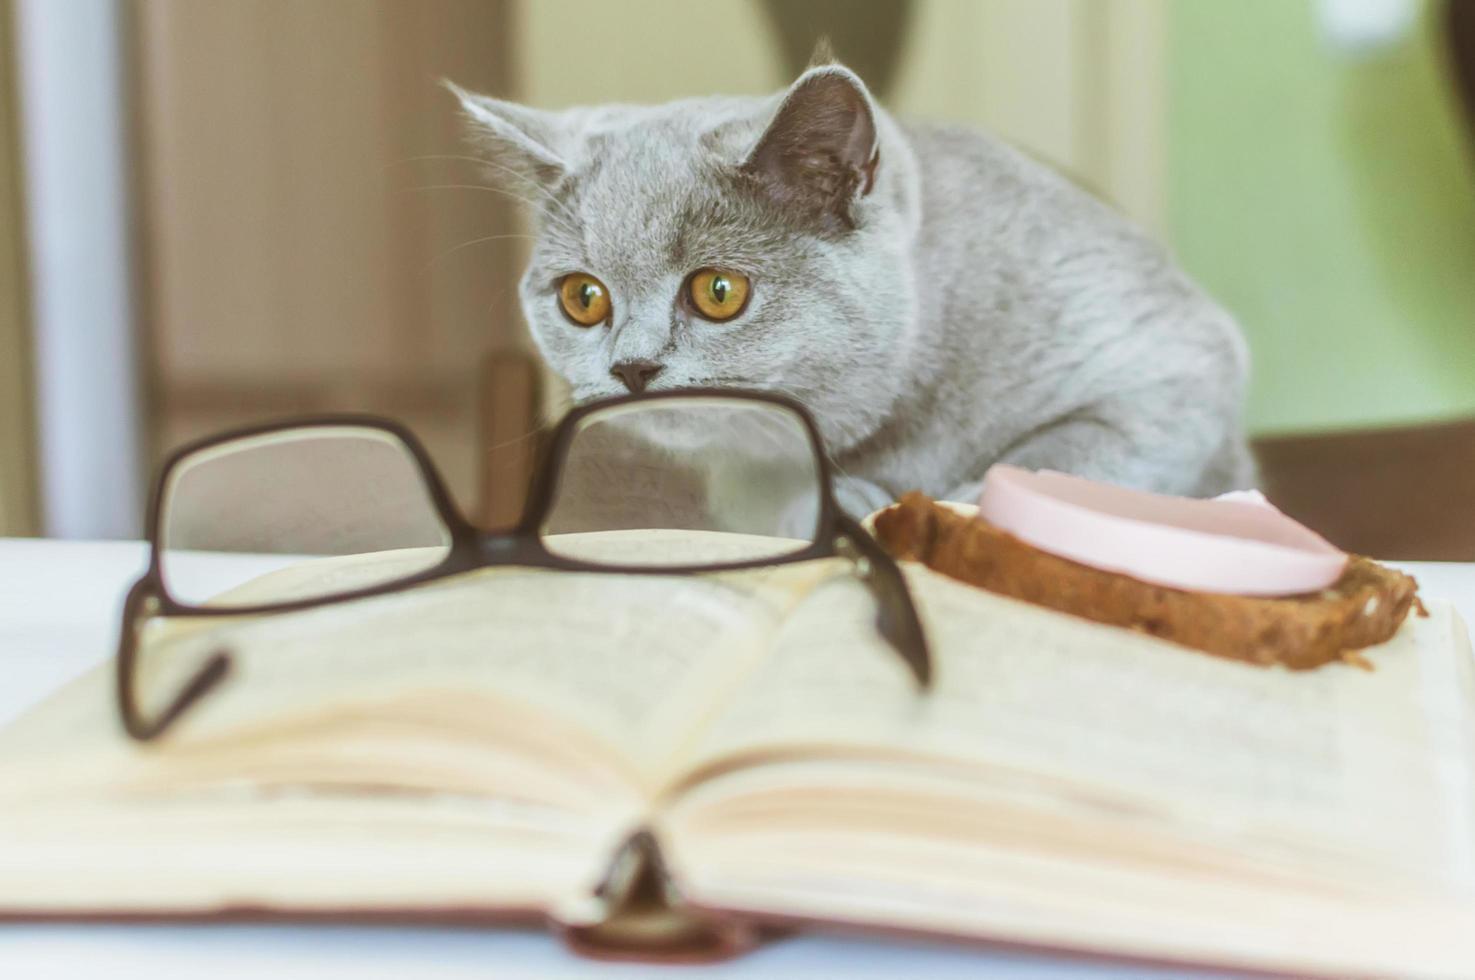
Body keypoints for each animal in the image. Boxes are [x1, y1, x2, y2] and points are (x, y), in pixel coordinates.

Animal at [451, 53, 1256, 513]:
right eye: (583, 298)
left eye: (719, 292)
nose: (632, 366)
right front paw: (842, 502)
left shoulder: (1176, 359)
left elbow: (1071, 446)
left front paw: (963, 502)